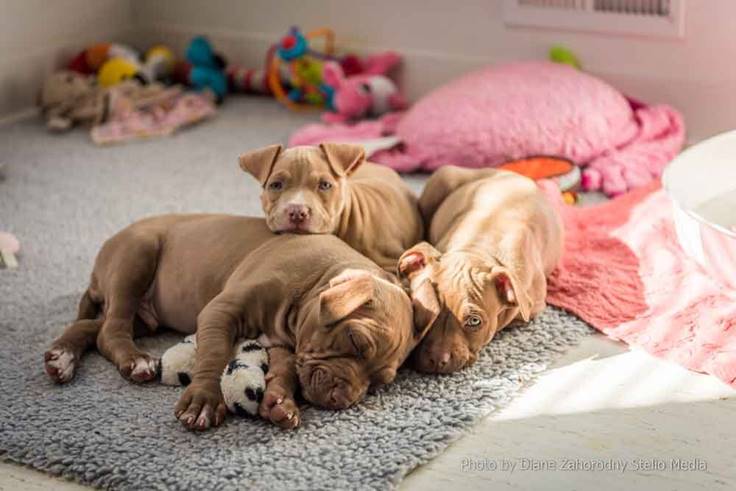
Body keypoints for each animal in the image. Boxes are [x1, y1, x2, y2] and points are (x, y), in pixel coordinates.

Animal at [44, 215, 436, 430]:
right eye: (355, 341)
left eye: (378, 383)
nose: (342, 400)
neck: (313, 281)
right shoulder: (220, 311)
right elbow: (214, 354)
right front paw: (203, 401)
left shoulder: (286, 343)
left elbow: (285, 370)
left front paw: (280, 402)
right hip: (135, 257)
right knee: (111, 329)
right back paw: (134, 360)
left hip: (145, 316)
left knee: (93, 327)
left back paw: (61, 358)